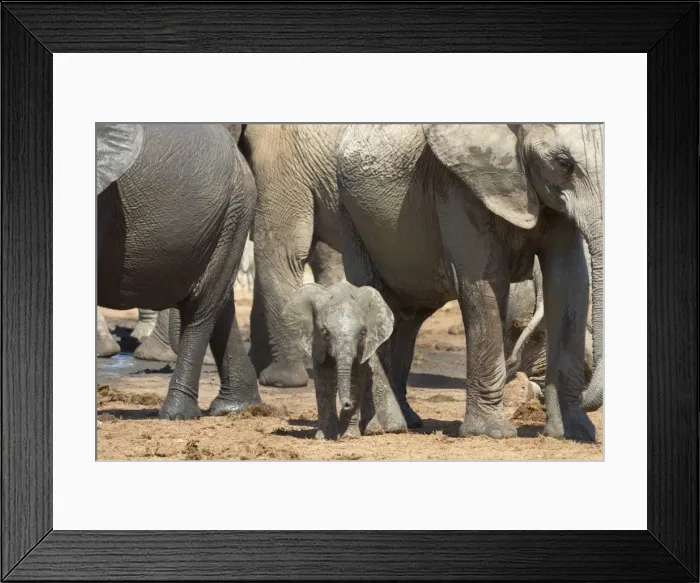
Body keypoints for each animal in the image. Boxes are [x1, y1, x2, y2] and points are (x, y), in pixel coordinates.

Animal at [97, 123, 260, 420]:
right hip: (229, 218)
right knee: (219, 304)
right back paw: (235, 408)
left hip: (234, 211)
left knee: (200, 309)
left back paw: (176, 415)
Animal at [283, 281, 407, 440]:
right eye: (325, 332)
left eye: (363, 332)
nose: (346, 404)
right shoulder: (317, 344)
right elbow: (324, 380)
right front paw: (325, 437)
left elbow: (356, 379)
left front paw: (349, 436)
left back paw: (379, 429)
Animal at [336, 124, 603, 442]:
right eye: (564, 164)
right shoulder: (457, 185)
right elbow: (485, 282)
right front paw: (492, 433)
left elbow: (569, 282)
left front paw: (574, 433)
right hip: (349, 218)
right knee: (372, 294)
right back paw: (386, 427)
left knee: (405, 318)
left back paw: (406, 421)